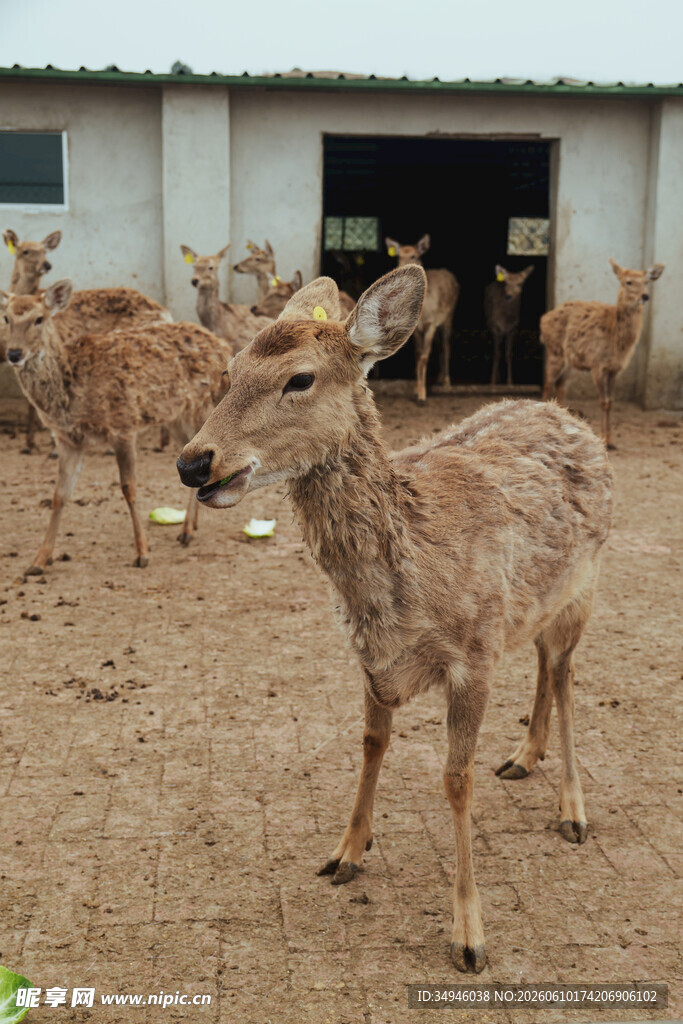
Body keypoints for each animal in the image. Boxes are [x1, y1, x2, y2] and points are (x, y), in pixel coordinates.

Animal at [0, 280, 232, 574]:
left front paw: (142, 553)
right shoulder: (67, 440)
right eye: (6, 318)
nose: (14, 353)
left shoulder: (123, 424)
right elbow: (59, 495)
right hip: (175, 416)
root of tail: (222, 345)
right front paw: (39, 560)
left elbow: (128, 488)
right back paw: (190, 526)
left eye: (39, 319)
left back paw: (187, 530)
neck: (71, 393)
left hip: (202, 405)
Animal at [176, 266, 613, 972]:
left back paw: (572, 809)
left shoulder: (474, 653)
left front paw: (469, 935)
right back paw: (524, 755)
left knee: (568, 674)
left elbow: (456, 779)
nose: (193, 462)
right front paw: (347, 852)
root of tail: (564, 413)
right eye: (232, 367)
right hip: (536, 603)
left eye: (300, 379)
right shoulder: (369, 655)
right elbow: (371, 742)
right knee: (546, 665)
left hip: (586, 585)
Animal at [385, 235, 459, 403]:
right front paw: (416, 389)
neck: (424, 313)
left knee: (446, 345)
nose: (401, 268)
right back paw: (439, 379)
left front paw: (422, 395)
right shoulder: (416, 329)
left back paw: (447, 383)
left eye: (414, 256)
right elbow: (418, 354)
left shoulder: (431, 323)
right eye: (398, 256)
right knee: (439, 346)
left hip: (449, 316)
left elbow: (425, 356)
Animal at [541, 258, 665, 448]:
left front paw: (611, 440)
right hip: (555, 352)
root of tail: (543, 319)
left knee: (560, 385)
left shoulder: (615, 369)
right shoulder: (597, 364)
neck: (617, 342)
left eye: (646, 282)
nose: (645, 296)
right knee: (547, 383)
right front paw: (604, 439)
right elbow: (603, 401)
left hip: (574, 365)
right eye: (628, 282)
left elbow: (611, 402)